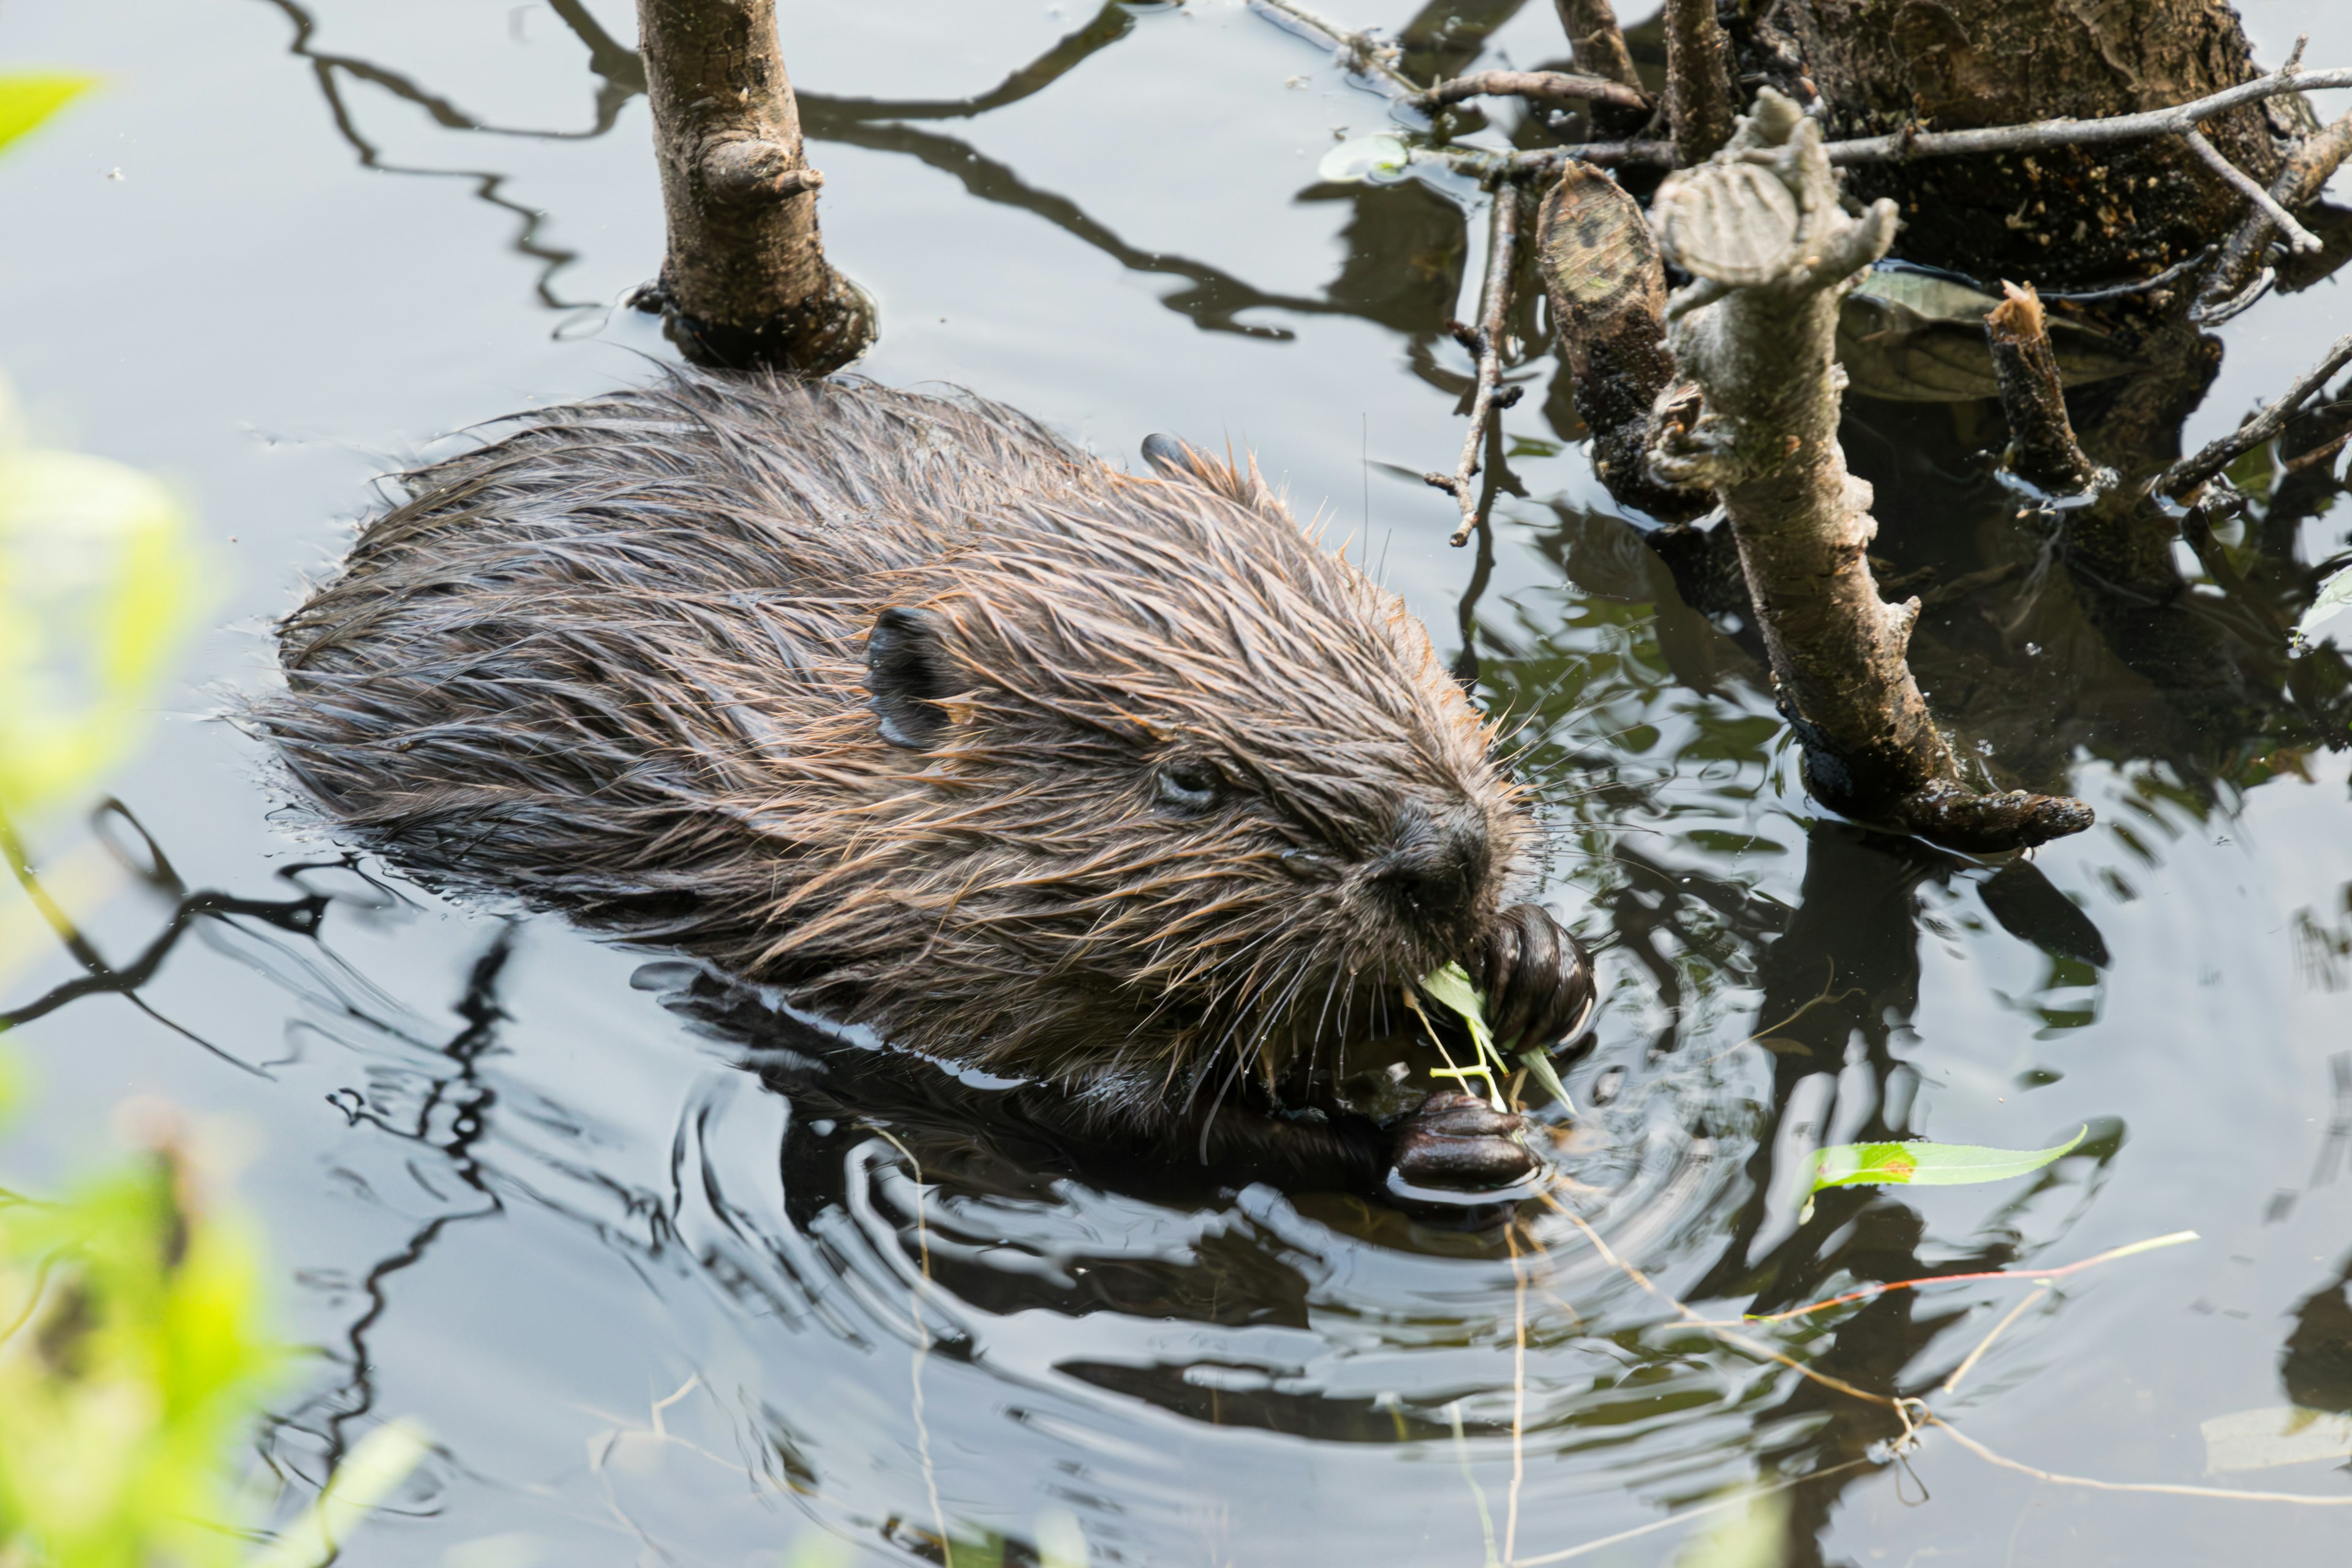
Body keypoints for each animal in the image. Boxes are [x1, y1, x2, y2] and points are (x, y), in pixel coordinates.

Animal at [266, 374, 1599, 1194]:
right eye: (1191, 779)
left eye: (1383, 639)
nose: (1442, 854)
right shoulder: (906, 978)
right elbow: (1123, 1115)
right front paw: (1439, 1137)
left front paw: (1534, 962)